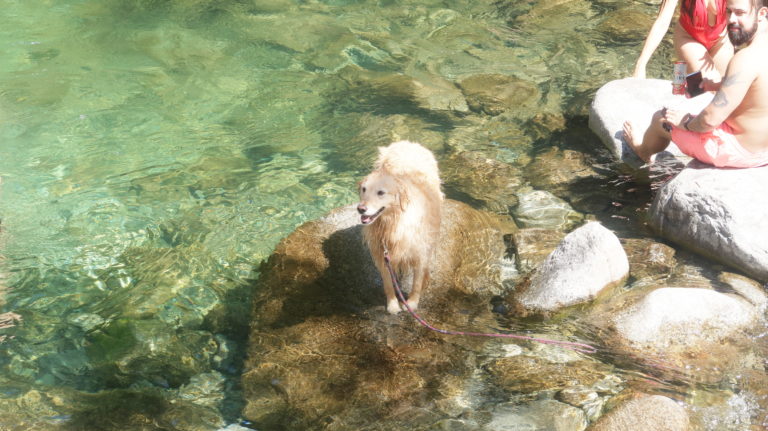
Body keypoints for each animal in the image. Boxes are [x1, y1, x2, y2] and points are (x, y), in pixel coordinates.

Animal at [356, 142, 440, 314]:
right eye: (364, 189)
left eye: (381, 192)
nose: (360, 209)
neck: (391, 223)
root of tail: (407, 143)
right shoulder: (382, 254)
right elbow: (388, 283)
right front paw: (393, 304)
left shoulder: (420, 253)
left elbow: (416, 283)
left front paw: (412, 303)